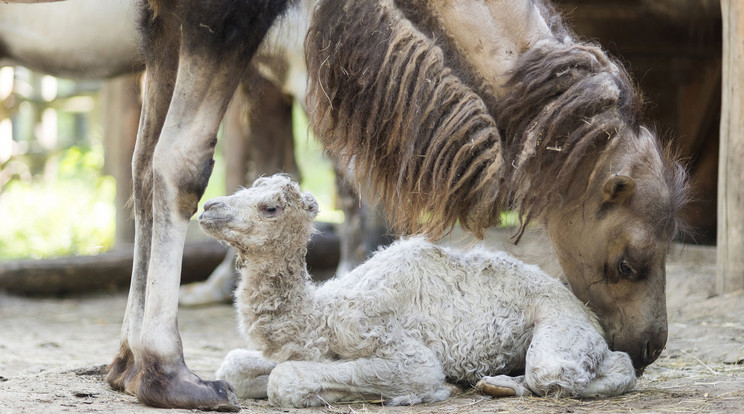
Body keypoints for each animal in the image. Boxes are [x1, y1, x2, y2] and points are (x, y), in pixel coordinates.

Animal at [201, 173, 636, 406]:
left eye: (270, 207)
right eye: (243, 190)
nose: (209, 207)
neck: (320, 314)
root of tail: (584, 308)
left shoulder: (389, 342)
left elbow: (285, 379)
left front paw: (419, 392)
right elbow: (235, 367)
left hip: (563, 326)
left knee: (576, 368)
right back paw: (497, 383)